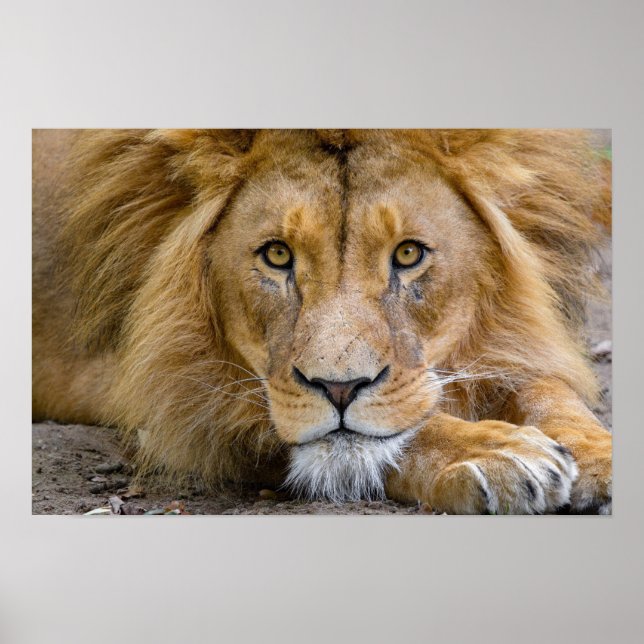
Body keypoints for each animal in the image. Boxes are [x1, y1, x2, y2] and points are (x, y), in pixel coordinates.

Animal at [32, 128, 612, 514]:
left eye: (407, 254)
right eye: (277, 255)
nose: (339, 389)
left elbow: (547, 390)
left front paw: (599, 457)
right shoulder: (178, 403)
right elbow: (401, 434)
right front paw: (497, 453)